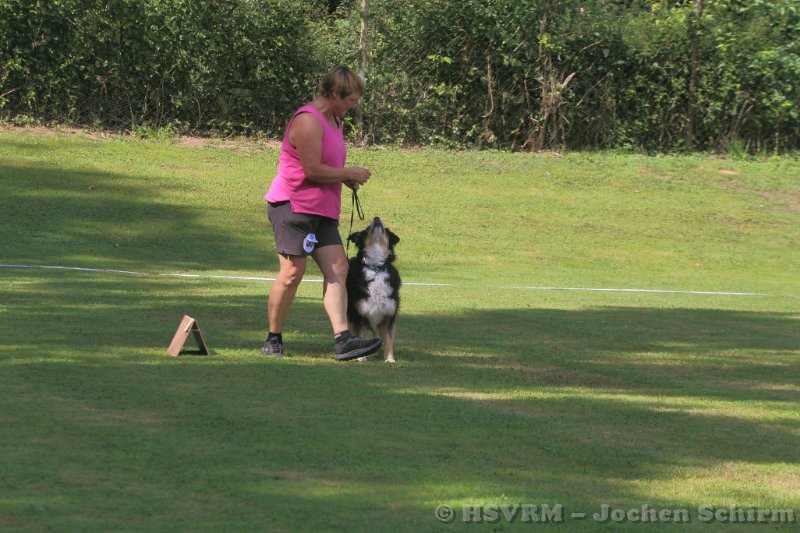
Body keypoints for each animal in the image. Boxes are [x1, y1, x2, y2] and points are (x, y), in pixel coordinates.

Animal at [346, 217, 401, 363]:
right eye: (366, 228)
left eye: (386, 230)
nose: (376, 218)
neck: (375, 268)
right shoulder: (358, 314)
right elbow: (359, 336)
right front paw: (361, 356)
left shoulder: (389, 315)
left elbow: (388, 340)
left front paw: (390, 359)